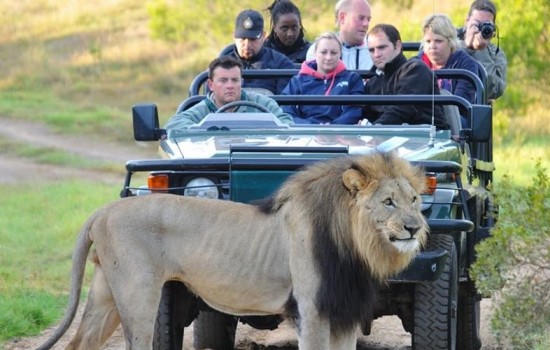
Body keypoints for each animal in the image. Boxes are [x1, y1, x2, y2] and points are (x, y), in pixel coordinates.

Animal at [37, 151, 432, 350]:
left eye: (415, 200)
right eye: (388, 202)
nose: (415, 227)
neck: (357, 248)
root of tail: (106, 209)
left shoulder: (344, 313)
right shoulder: (312, 310)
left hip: (106, 292)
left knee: (79, 344)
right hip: (138, 295)